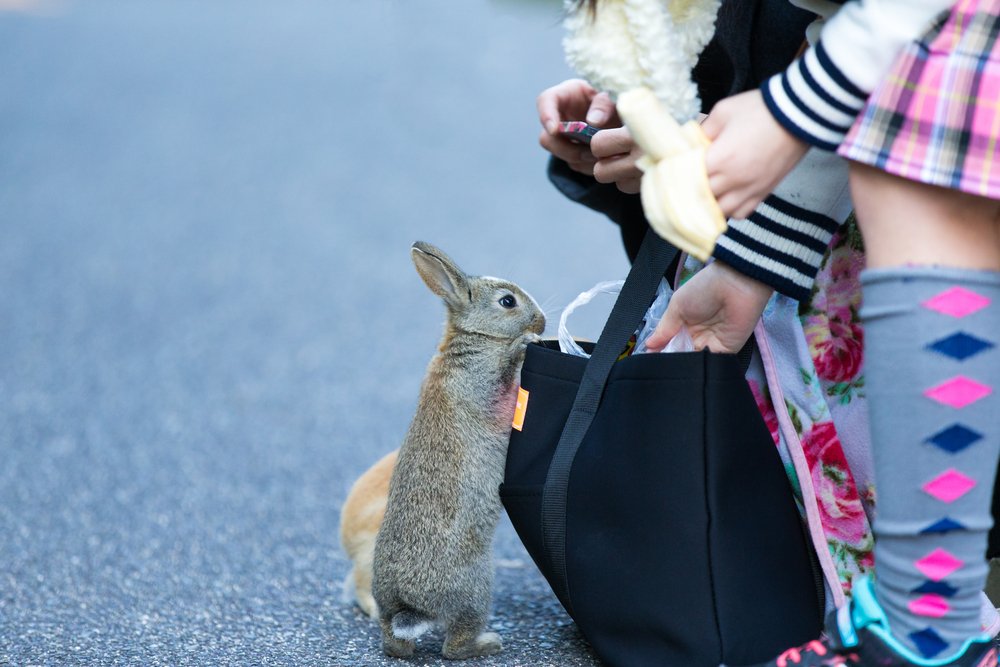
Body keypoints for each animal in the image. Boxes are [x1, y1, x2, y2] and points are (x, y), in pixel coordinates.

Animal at [371, 241, 545, 660]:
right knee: (454, 645)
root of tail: (410, 605)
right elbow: (506, 379)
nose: (542, 323)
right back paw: (489, 643)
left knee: (394, 644)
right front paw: (523, 346)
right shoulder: (487, 390)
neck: (476, 340)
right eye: (508, 301)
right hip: (475, 588)